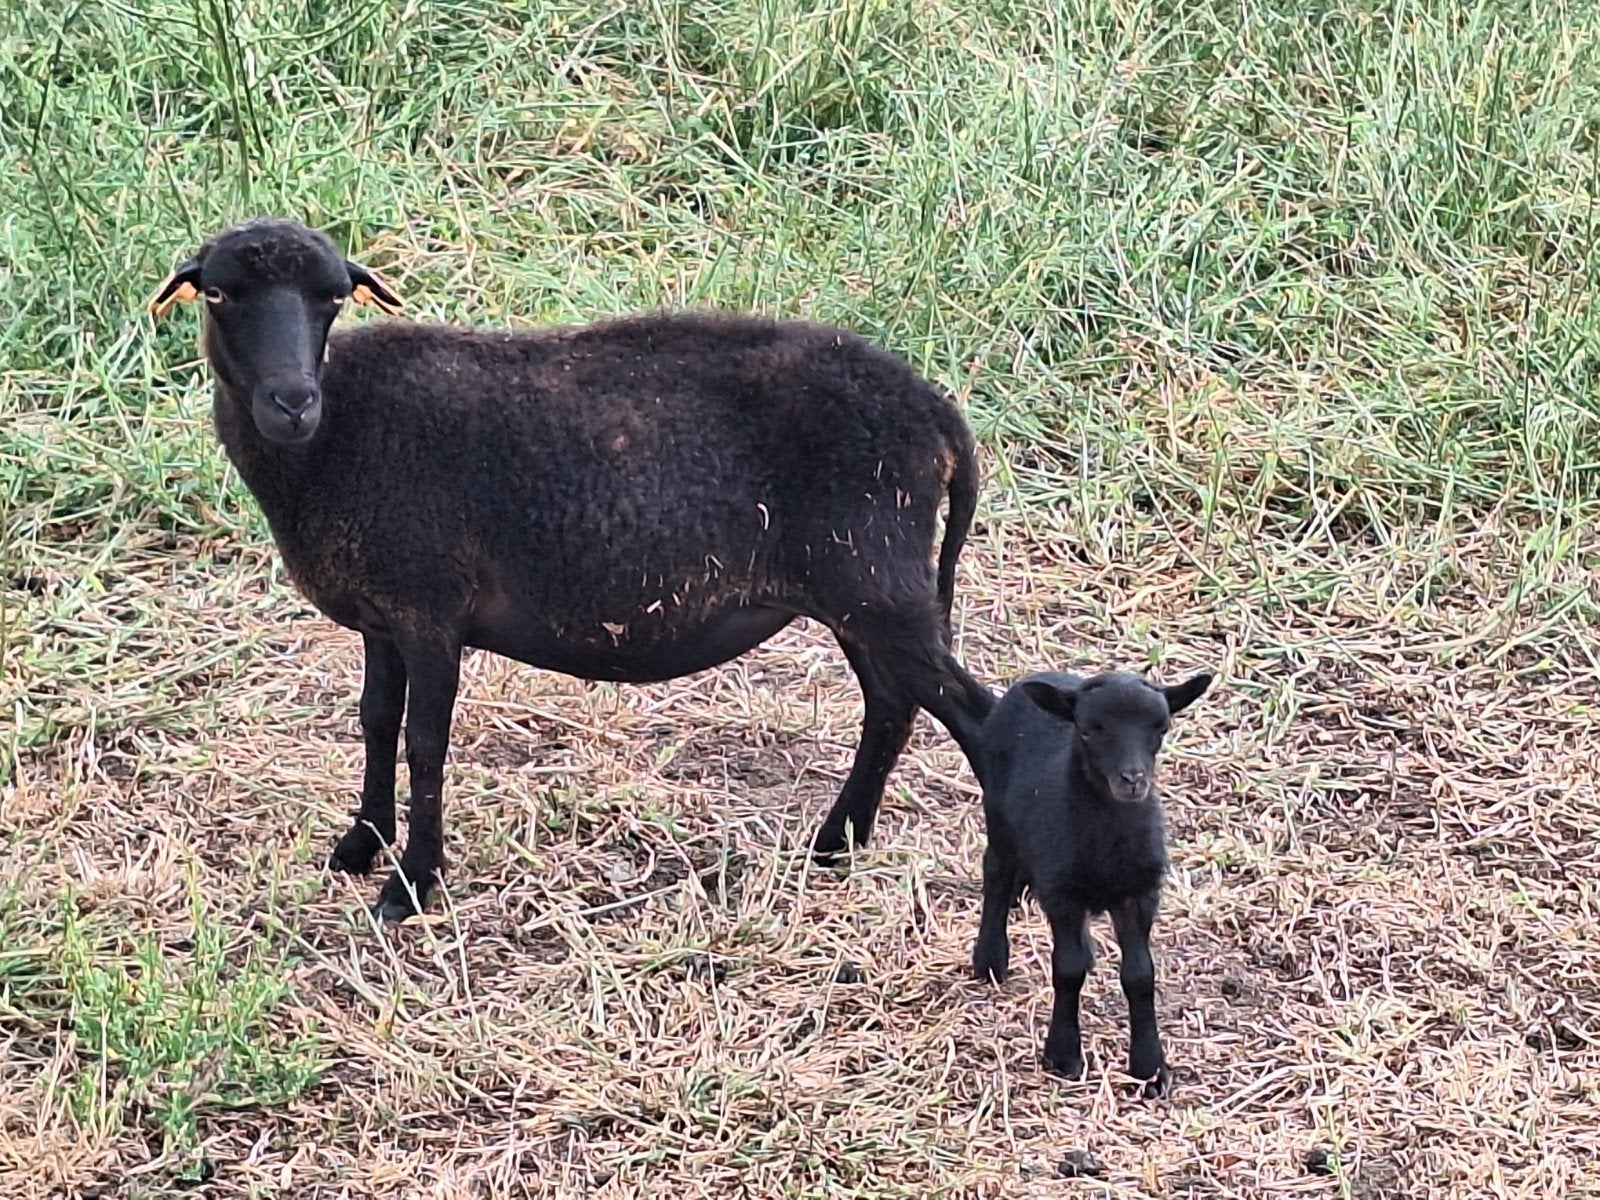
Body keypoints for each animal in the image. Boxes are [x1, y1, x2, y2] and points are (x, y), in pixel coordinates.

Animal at [148, 217, 996, 921]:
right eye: (219, 292)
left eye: (332, 297)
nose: (291, 401)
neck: (336, 434)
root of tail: (938, 416)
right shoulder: (381, 616)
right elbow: (375, 720)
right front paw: (361, 844)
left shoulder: (430, 609)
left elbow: (425, 740)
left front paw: (411, 884)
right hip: (863, 592)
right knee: (891, 704)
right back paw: (836, 843)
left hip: (875, 582)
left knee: (972, 715)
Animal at [971, 668, 1213, 1098]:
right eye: (1087, 731)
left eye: (1162, 728)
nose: (1132, 780)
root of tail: (1038, 676)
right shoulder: (1060, 891)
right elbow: (1067, 971)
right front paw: (1064, 1054)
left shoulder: (1140, 894)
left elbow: (1140, 976)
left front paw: (1150, 1068)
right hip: (997, 812)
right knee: (996, 873)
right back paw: (990, 959)